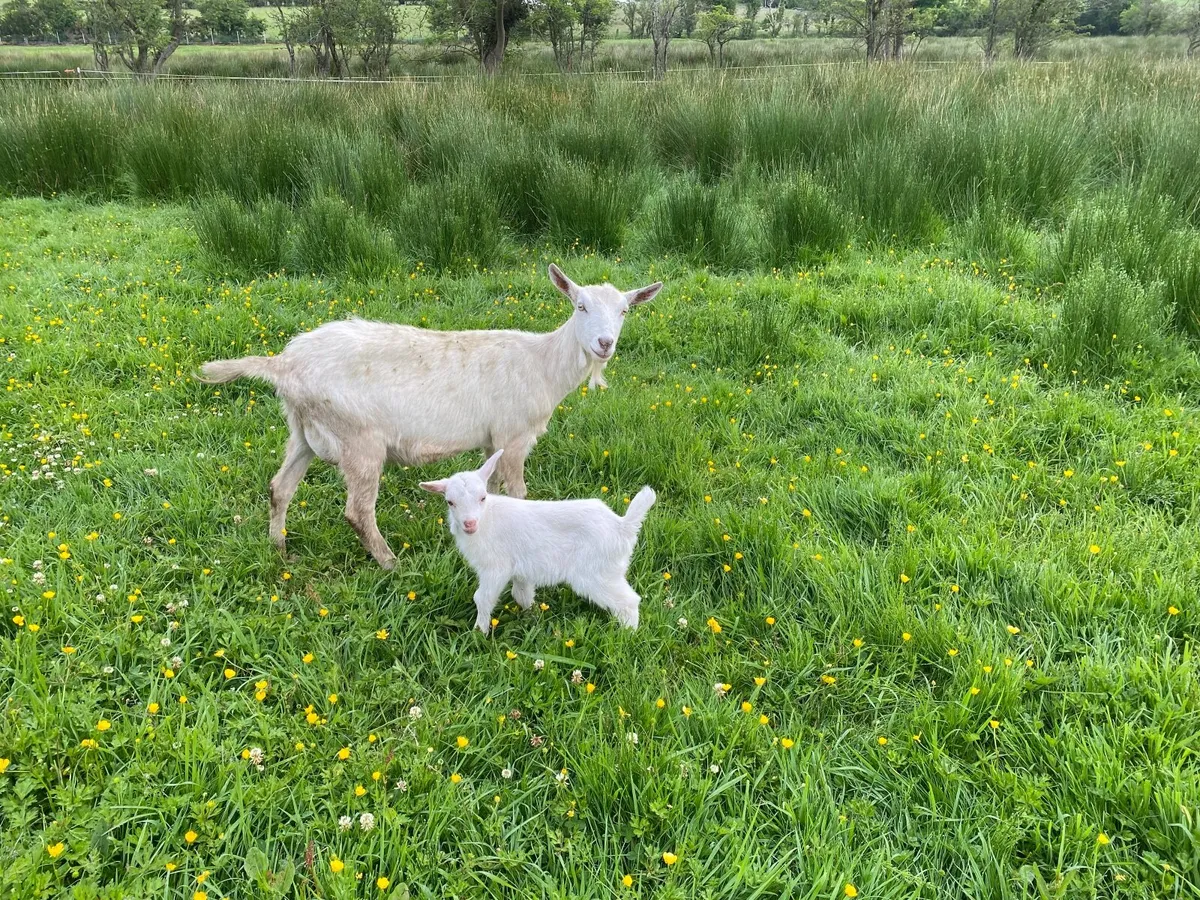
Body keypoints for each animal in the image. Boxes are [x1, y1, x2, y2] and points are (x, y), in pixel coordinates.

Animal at [197, 264, 662, 569]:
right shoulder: (513, 436)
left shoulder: (492, 442)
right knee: (357, 511)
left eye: (625, 310)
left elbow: (493, 491)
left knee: (280, 488)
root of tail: (285, 364)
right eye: (579, 306)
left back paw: (279, 549)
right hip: (359, 438)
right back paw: (390, 563)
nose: (604, 344)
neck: (542, 362)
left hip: (303, 430)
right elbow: (519, 492)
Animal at [421, 450, 656, 632]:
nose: (469, 524)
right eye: (450, 502)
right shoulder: (520, 569)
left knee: (629, 600)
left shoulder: (495, 567)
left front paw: (479, 632)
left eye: (483, 497)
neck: (487, 519)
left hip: (597, 572)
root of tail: (623, 526)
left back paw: (628, 634)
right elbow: (521, 594)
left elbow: (482, 598)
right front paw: (531, 616)